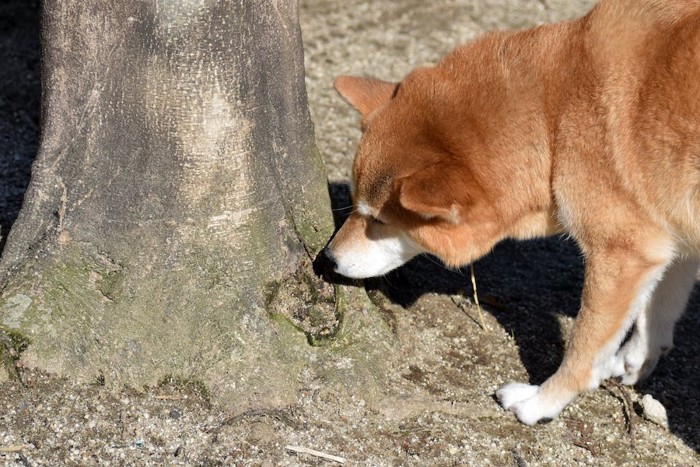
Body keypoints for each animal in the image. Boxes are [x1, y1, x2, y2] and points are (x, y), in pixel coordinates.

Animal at [326, 0, 700, 426]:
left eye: (379, 221)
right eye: (356, 203)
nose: (327, 258)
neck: (556, 113)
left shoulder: (622, 253)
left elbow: (582, 350)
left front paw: (542, 401)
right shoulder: (670, 234)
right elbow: (657, 310)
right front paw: (636, 358)